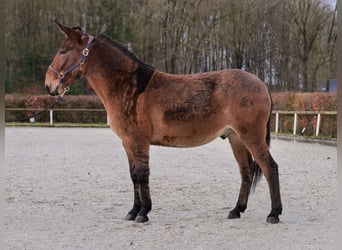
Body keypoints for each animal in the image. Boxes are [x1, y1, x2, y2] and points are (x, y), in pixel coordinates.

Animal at [44, 21, 280, 224]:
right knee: (246, 172)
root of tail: (261, 83)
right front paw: (133, 211)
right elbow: (134, 176)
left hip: (251, 136)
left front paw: (143, 212)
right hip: (235, 138)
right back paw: (236, 210)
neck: (129, 87)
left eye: (63, 51)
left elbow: (142, 174)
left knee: (269, 167)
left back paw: (274, 213)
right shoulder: (127, 142)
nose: (49, 85)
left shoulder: (138, 141)